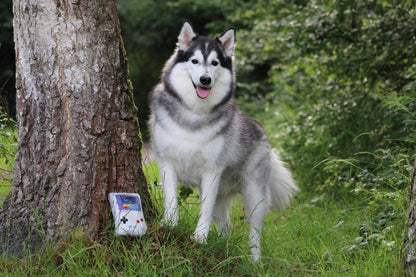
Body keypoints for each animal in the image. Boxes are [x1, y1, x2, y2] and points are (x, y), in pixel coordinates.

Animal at [148, 21, 298, 258]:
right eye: (194, 61)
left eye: (215, 63)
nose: (205, 79)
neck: (194, 114)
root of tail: (259, 128)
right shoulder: (166, 163)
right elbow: (171, 199)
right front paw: (169, 225)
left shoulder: (212, 171)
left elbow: (205, 211)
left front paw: (200, 239)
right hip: (223, 192)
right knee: (226, 225)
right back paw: (222, 248)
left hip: (254, 196)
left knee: (255, 233)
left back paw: (255, 260)